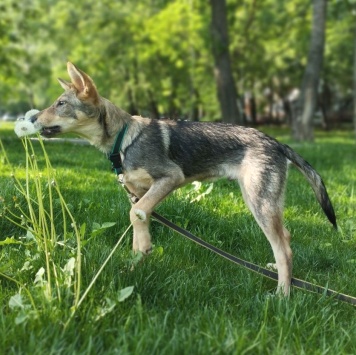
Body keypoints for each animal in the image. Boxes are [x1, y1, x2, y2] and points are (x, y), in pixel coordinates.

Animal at [30, 62, 336, 296]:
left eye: (60, 104)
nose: (32, 118)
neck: (123, 139)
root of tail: (276, 143)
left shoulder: (169, 178)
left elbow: (135, 214)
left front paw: (142, 252)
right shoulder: (140, 191)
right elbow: (138, 221)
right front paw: (136, 262)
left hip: (257, 201)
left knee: (284, 248)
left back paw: (282, 294)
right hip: (263, 201)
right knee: (285, 238)